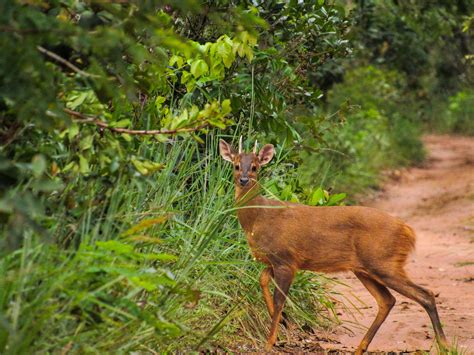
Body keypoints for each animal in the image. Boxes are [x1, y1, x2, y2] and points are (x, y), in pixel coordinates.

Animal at [219, 138, 448, 355]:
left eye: (255, 166)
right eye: (236, 165)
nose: (244, 180)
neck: (258, 218)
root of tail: (407, 230)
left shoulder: (286, 259)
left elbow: (278, 300)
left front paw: (270, 342)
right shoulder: (274, 260)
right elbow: (263, 279)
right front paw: (284, 321)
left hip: (384, 262)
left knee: (425, 295)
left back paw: (444, 346)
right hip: (365, 268)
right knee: (387, 300)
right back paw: (360, 348)